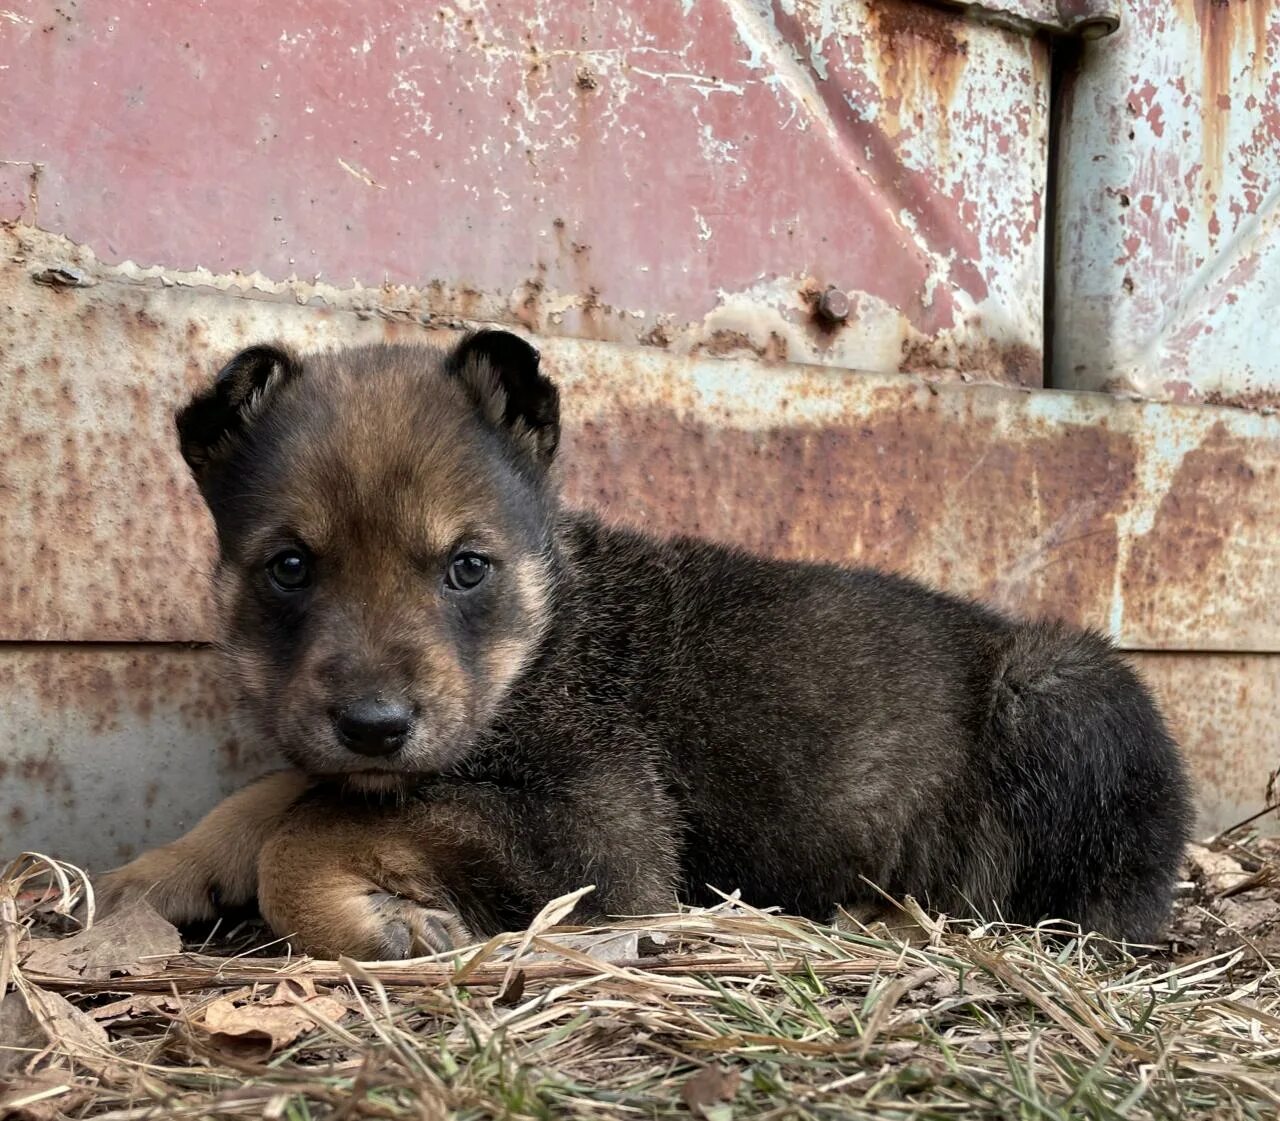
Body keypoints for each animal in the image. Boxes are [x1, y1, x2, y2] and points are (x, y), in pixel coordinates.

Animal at [94, 330, 1192, 952]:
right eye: (289, 566)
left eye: (466, 567)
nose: (374, 724)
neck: (547, 634)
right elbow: (284, 792)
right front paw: (160, 871)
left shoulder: (607, 836)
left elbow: (308, 825)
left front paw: (376, 918)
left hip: (1058, 692)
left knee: (1075, 904)